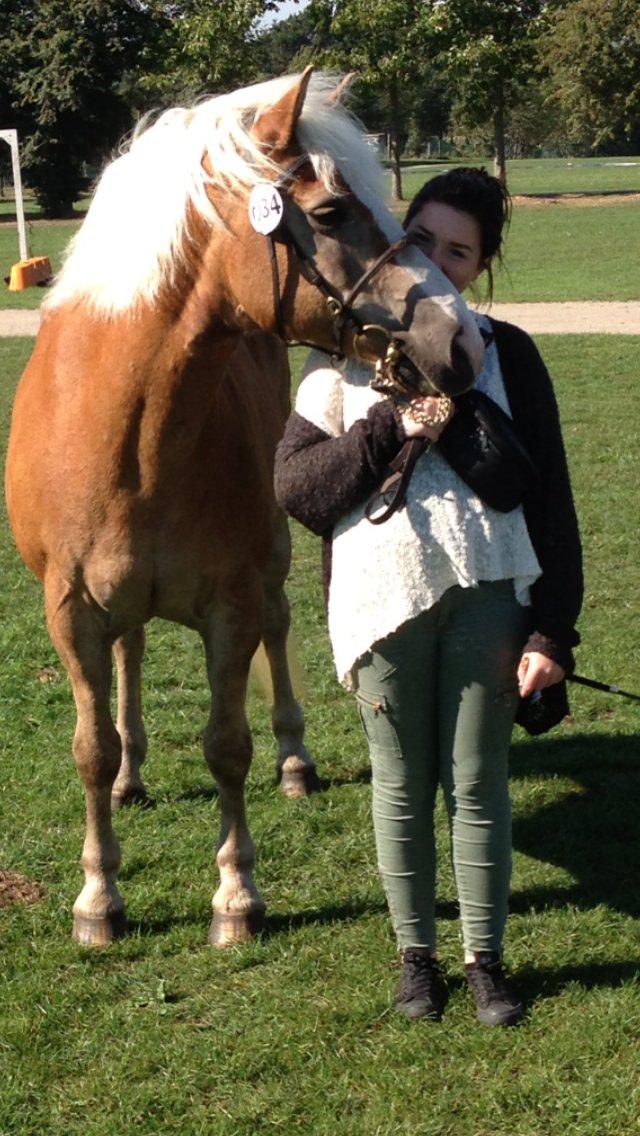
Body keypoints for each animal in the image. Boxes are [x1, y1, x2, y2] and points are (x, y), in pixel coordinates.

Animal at [6, 66, 486, 945]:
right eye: (329, 213)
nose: (461, 342)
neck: (128, 434)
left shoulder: (229, 605)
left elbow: (228, 744)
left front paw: (235, 895)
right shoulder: (71, 610)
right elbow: (90, 748)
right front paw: (98, 896)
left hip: (271, 558)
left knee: (279, 624)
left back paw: (294, 759)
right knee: (131, 656)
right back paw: (133, 776)